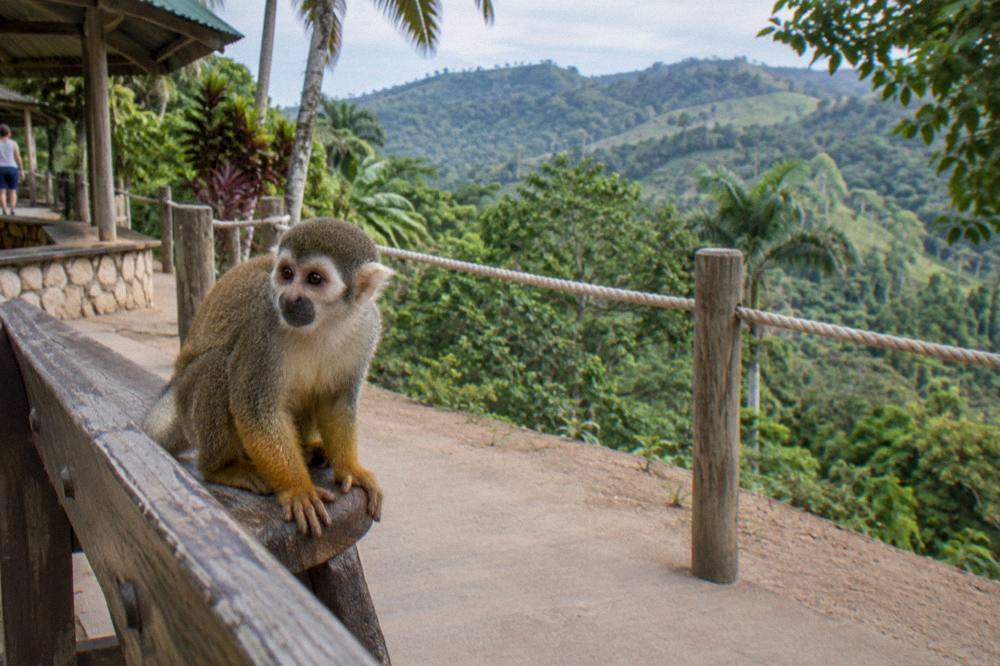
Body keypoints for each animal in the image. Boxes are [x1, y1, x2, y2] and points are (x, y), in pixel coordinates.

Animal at [143, 218, 392, 537]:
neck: (324, 324)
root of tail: (174, 387)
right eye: (287, 273)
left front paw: (350, 469)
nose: (289, 297)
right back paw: (221, 468)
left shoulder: (367, 326)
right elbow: (256, 409)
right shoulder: (263, 328)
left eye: (314, 279)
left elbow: (337, 402)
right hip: (188, 397)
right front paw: (298, 490)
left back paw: (309, 450)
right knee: (218, 365)